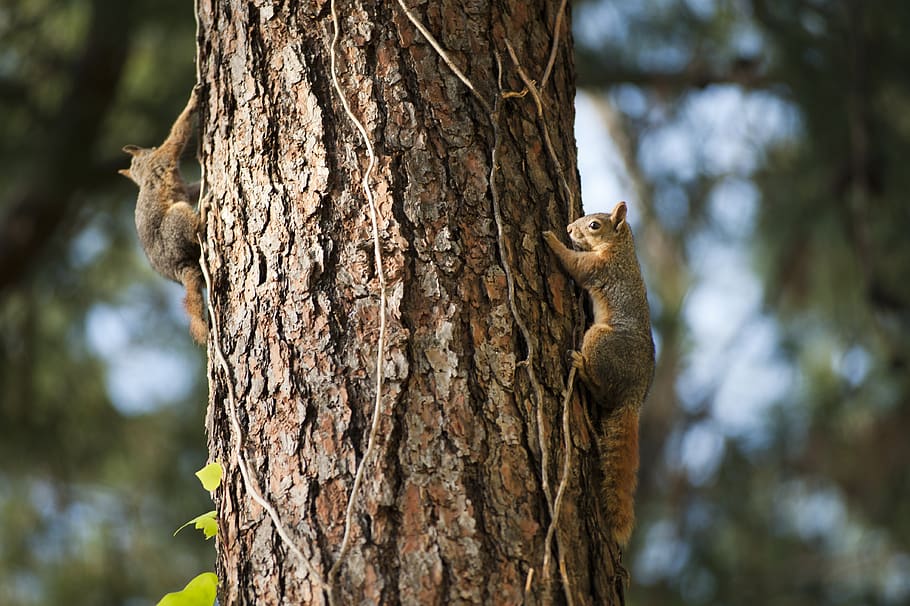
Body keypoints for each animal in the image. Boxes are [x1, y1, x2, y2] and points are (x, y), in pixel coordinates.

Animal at [119, 86, 207, 344]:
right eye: (151, 148)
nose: (151, 147)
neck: (143, 171)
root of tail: (179, 266)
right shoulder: (167, 154)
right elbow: (178, 133)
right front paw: (194, 100)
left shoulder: (183, 186)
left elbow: (193, 189)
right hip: (176, 220)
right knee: (194, 229)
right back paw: (204, 213)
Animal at [544, 201, 655, 548]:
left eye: (594, 225)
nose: (569, 228)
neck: (620, 247)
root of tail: (635, 395)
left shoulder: (598, 268)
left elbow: (574, 266)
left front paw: (552, 241)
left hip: (597, 338)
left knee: (601, 391)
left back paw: (580, 368)